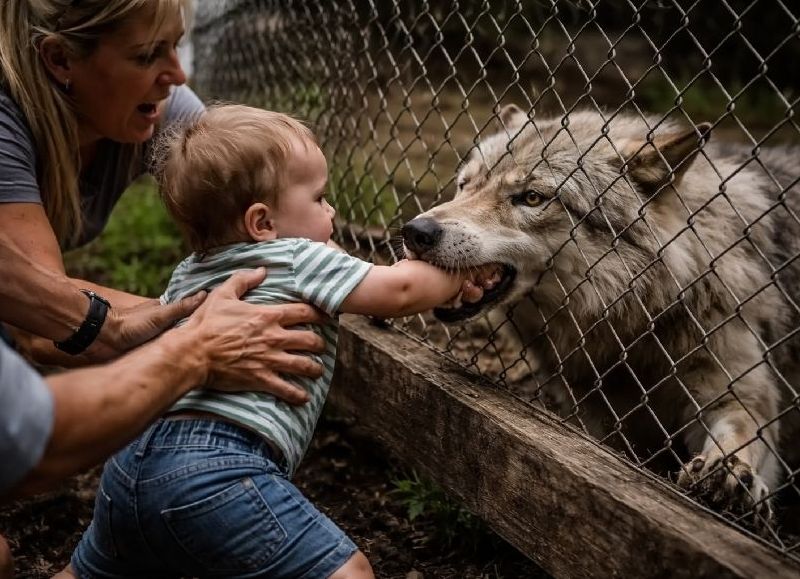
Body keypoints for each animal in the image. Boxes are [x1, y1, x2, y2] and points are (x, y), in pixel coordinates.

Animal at [402, 105, 800, 530]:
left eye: (532, 197)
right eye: (465, 185)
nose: (415, 231)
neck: (634, 326)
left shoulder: (737, 388)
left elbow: (741, 429)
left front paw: (729, 473)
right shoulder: (599, 419)